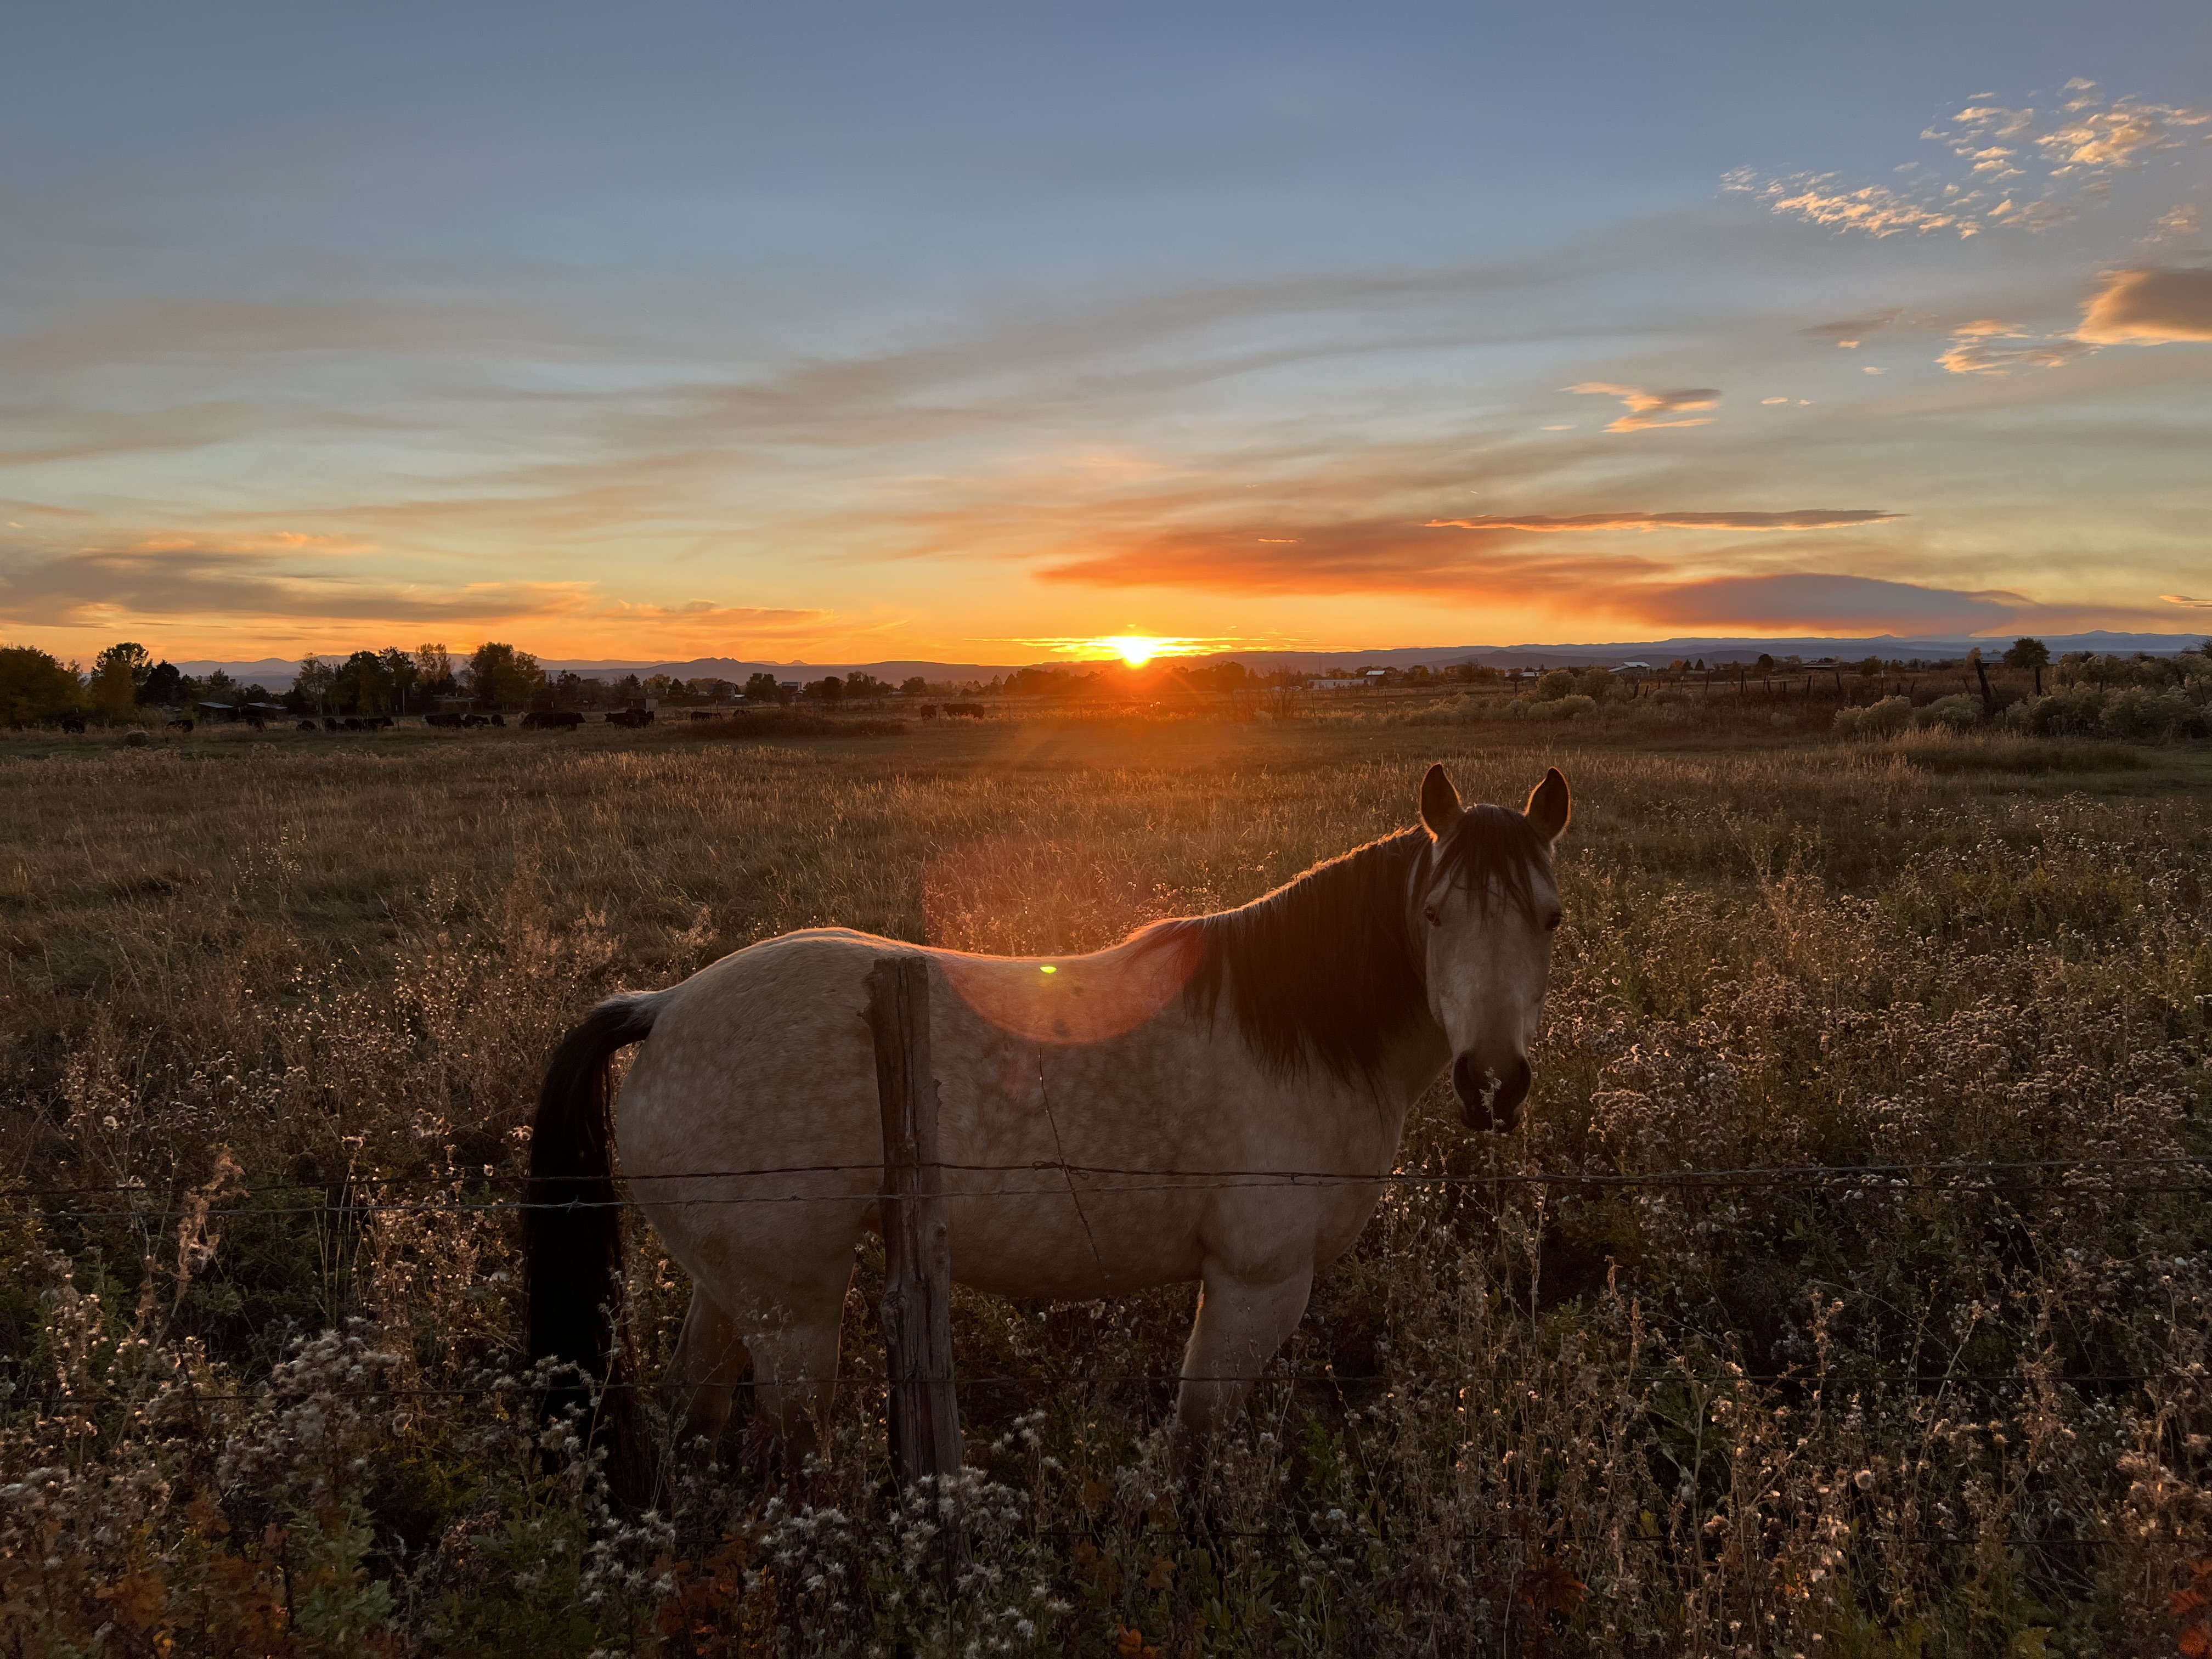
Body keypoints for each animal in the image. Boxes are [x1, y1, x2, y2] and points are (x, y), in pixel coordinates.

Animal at [525, 762, 1570, 1484]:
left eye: (1552, 919)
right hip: (794, 1307)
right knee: (788, 1447)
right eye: (1433, 914)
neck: (1300, 1031)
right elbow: (1192, 1442)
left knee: (688, 1416)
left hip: (733, 1288)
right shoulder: (1257, 1284)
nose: (1494, 1081)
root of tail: (665, 1006)